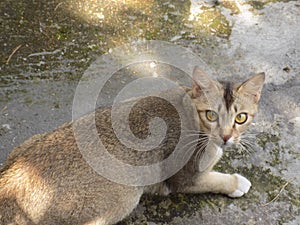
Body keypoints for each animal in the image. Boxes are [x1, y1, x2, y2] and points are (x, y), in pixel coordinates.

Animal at [0, 67, 264, 225]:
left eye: (241, 118)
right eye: (211, 115)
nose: (226, 137)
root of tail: (12, 182)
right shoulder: (184, 179)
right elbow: (215, 179)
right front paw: (236, 182)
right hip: (125, 196)